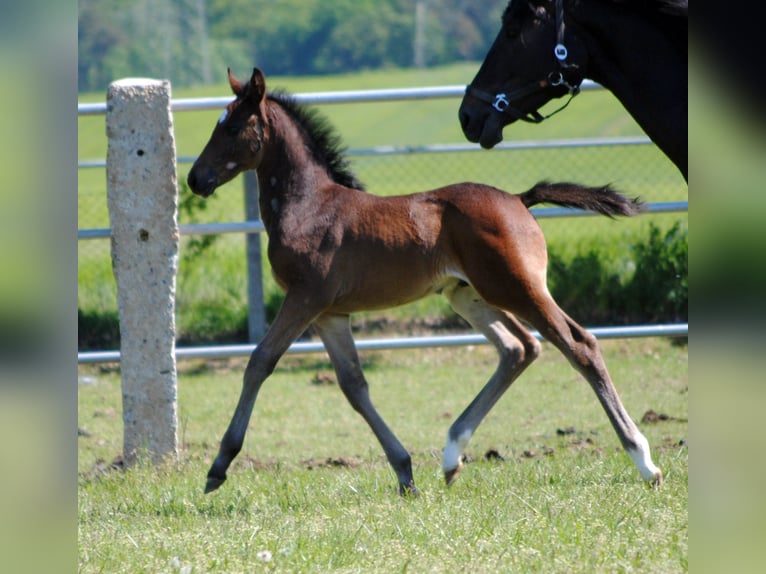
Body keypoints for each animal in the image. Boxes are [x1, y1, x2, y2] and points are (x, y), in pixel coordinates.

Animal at [189, 67, 664, 498]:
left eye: (231, 126)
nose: (196, 178)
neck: (308, 205)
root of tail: (518, 199)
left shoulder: (305, 298)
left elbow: (260, 361)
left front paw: (219, 465)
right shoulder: (331, 313)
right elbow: (353, 385)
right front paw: (404, 471)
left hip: (517, 287)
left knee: (577, 343)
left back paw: (644, 461)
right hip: (469, 295)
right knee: (518, 348)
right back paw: (452, 457)